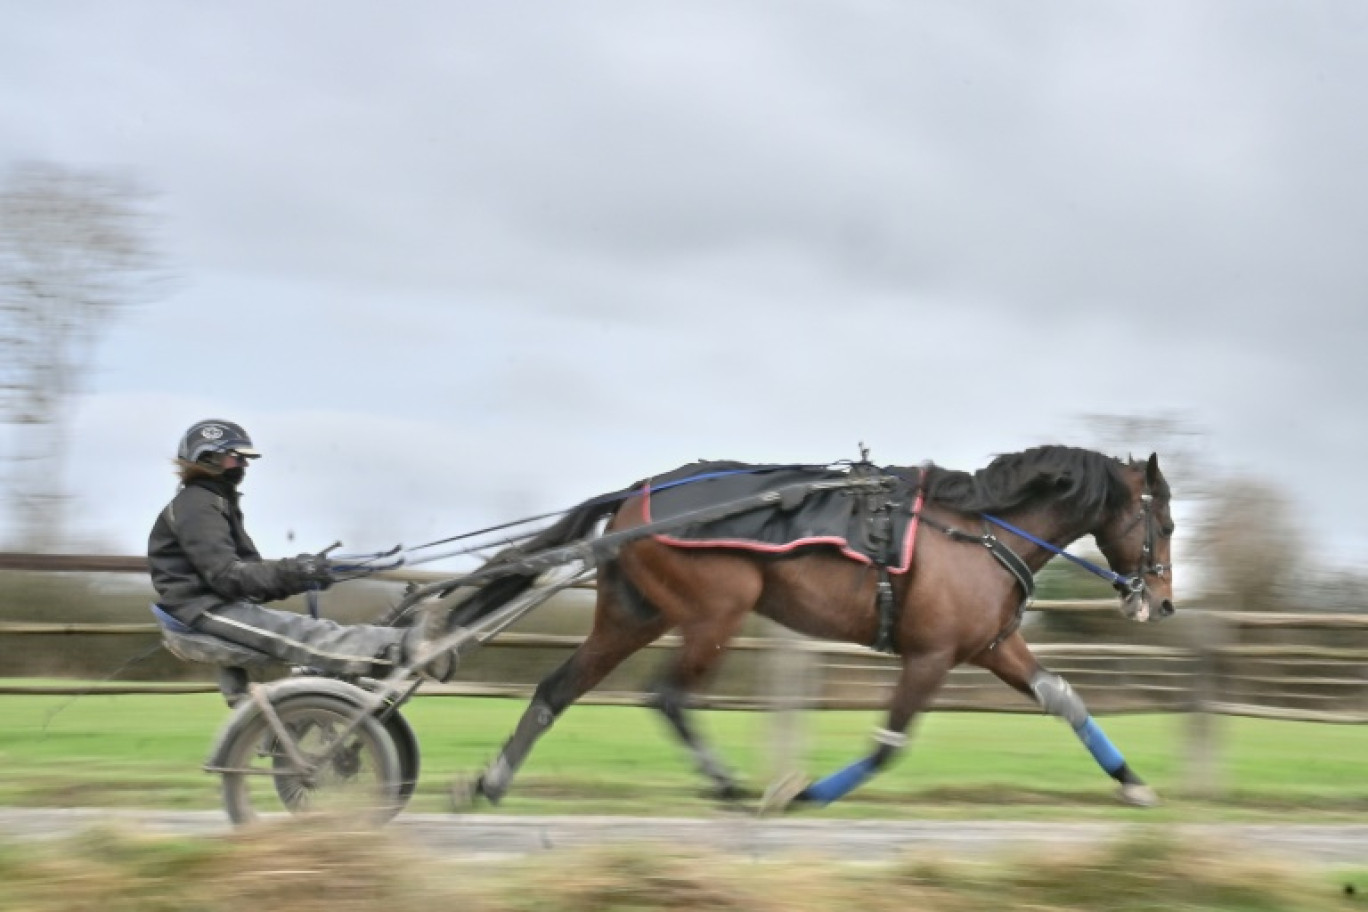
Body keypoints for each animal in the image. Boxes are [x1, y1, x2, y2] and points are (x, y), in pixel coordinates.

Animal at [448, 445, 1176, 809]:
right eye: (1165, 522)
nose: (1163, 602)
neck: (981, 530)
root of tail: (637, 494)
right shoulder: (931, 655)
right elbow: (888, 744)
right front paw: (805, 792)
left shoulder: (993, 647)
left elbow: (1064, 699)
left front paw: (1133, 782)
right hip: (715, 612)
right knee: (669, 695)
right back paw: (727, 783)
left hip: (634, 614)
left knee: (558, 687)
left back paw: (492, 781)